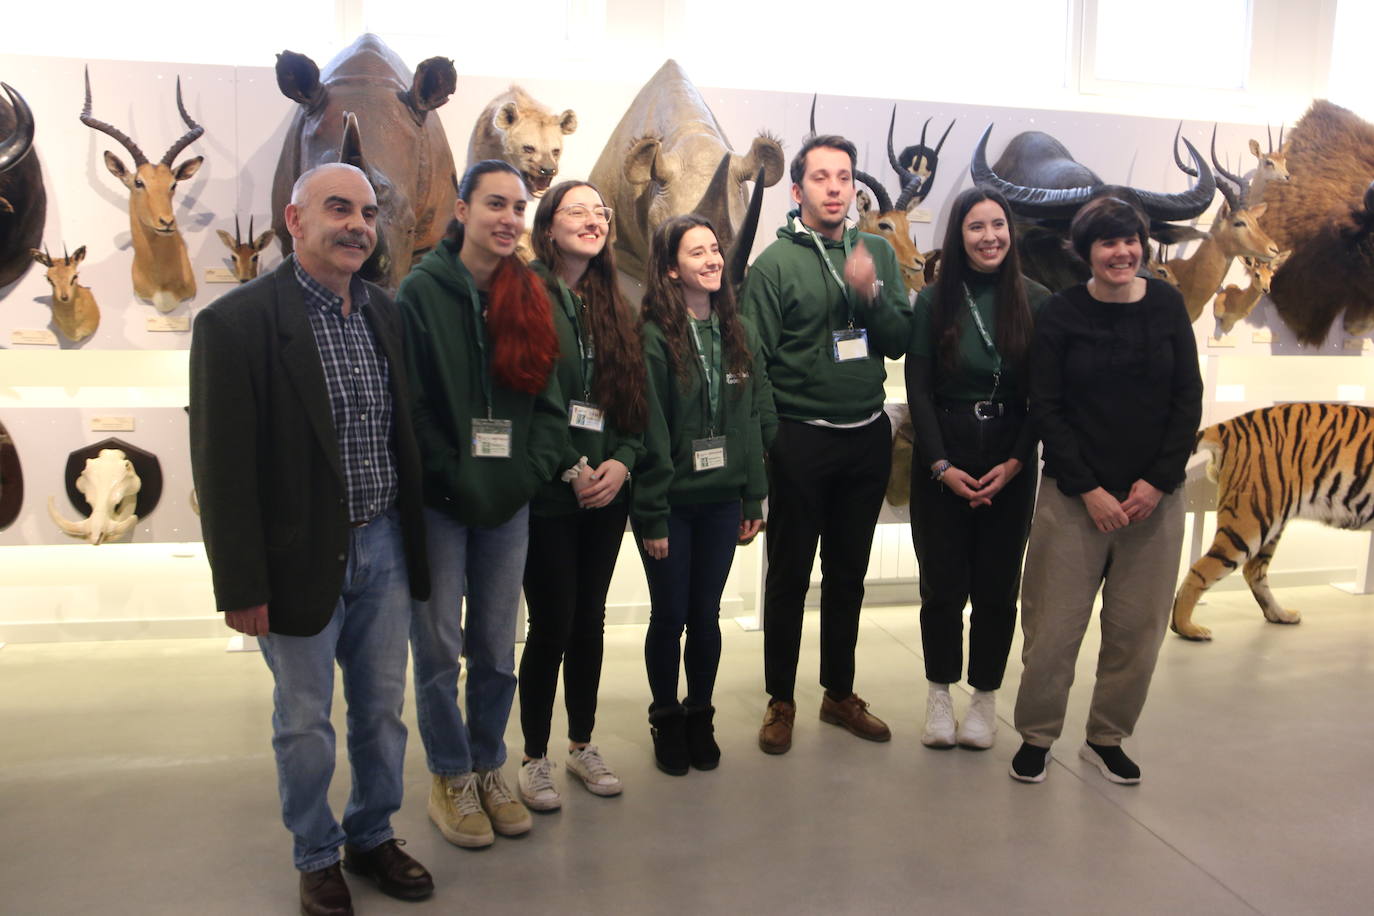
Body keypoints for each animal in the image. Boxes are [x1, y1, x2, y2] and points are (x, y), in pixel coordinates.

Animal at [1170, 403, 1374, 642]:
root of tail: (1229, 426)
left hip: (1269, 522)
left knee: (1253, 570)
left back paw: (1281, 615)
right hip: (1249, 523)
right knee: (1201, 569)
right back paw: (1188, 629)